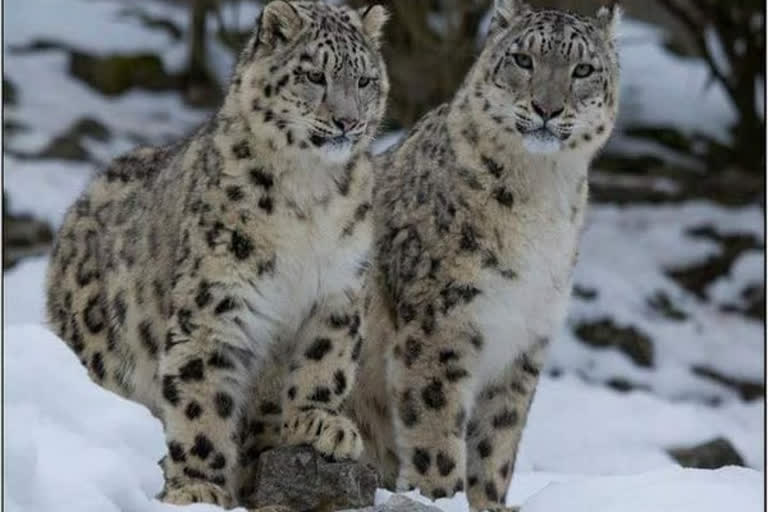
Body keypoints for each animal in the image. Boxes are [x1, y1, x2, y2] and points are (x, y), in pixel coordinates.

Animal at [46, 2, 390, 508]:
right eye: (315, 75)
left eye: (364, 80)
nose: (347, 121)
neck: (310, 195)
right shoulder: (216, 301)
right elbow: (201, 395)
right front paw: (197, 486)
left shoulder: (337, 289)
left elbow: (324, 360)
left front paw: (320, 422)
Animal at [344, 2, 620, 510]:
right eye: (523, 59)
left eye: (584, 69)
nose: (547, 108)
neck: (543, 195)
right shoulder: (440, 320)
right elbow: (435, 424)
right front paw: (439, 495)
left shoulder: (526, 339)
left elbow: (498, 439)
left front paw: (490, 500)